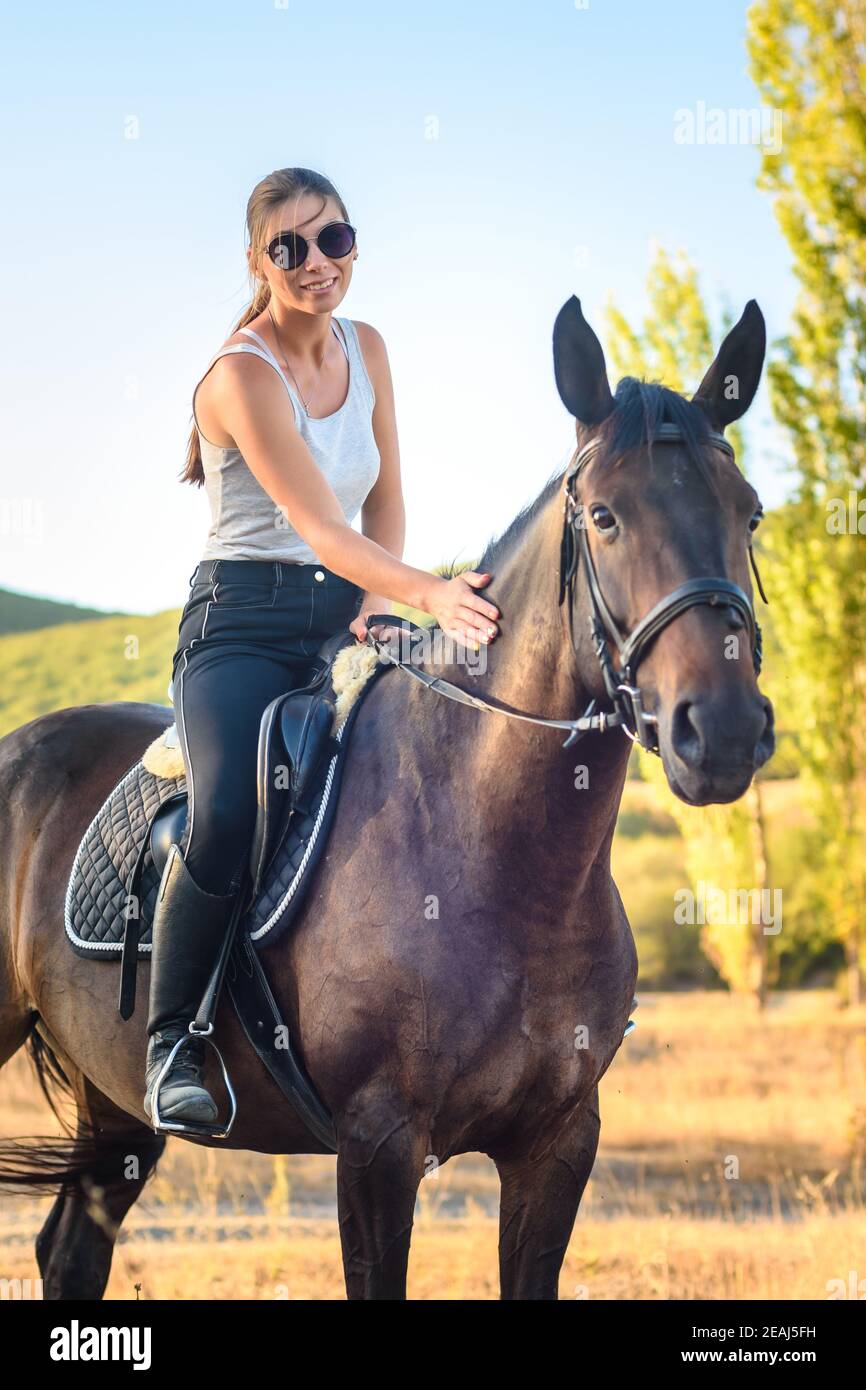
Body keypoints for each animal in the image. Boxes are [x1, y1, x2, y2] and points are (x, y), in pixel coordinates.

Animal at [0, 298, 772, 1295]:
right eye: (603, 516)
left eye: (750, 514)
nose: (720, 731)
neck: (506, 863)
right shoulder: (378, 1144)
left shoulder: (559, 1142)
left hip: (114, 1093)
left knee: (72, 1246)